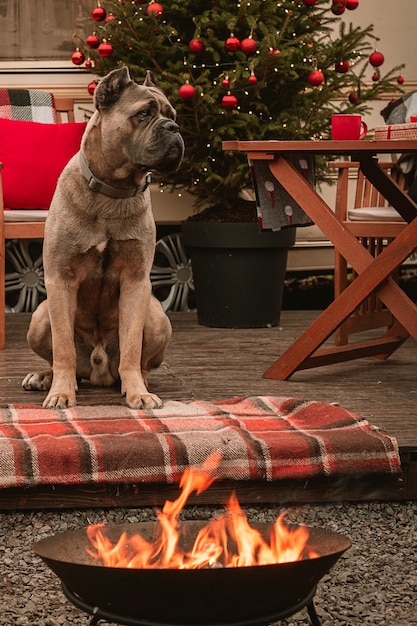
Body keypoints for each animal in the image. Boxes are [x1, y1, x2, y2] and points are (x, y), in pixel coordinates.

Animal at [22, 67, 184, 410]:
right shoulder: (61, 279)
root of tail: (97, 368)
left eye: (172, 115)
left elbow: (132, 348)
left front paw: (138, 392)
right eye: (144, 113)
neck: (113, 189)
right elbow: (63, 349)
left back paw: (137, 382)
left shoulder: (136, 281)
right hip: (39, 316)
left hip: (157, 317)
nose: (174, 128)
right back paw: (44, 378)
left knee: (141, 361)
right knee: (59, 356)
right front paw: (61, 393)